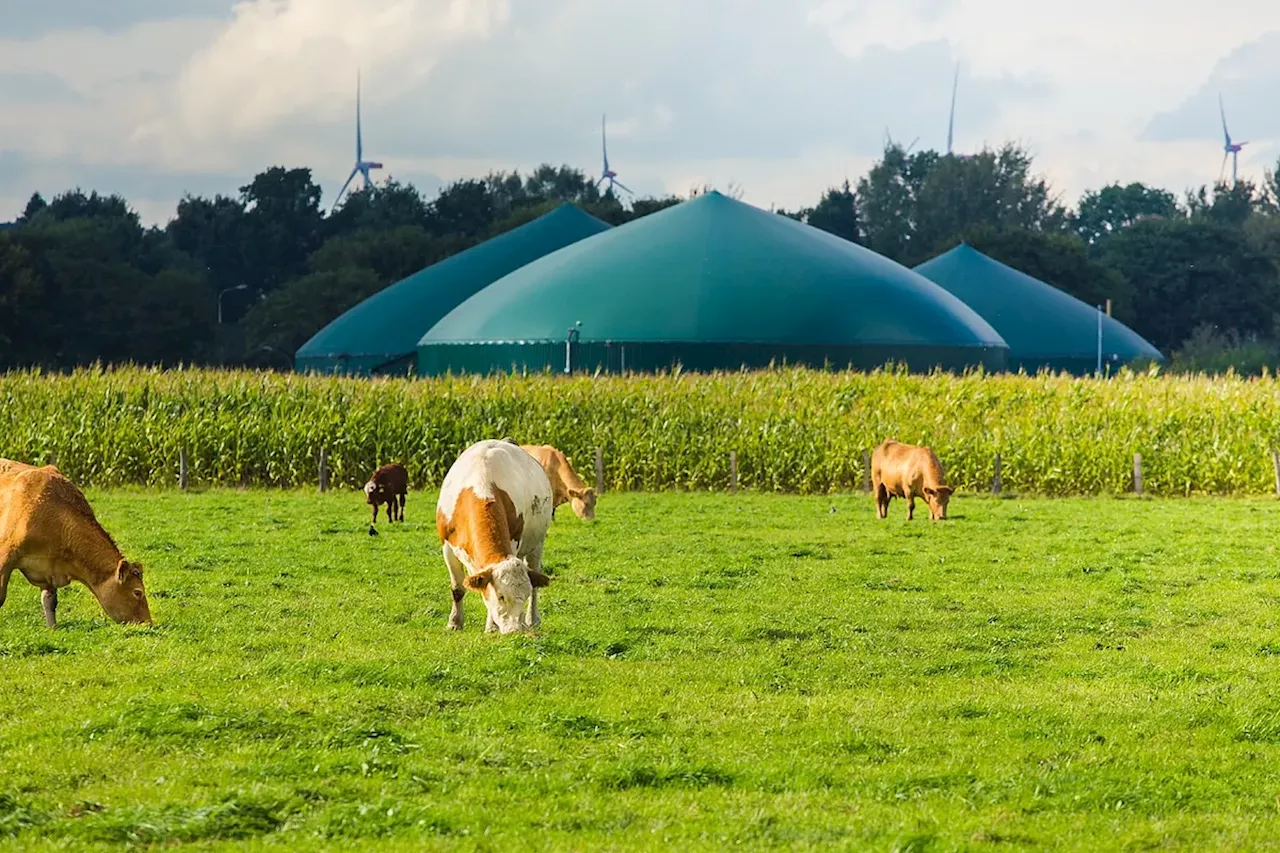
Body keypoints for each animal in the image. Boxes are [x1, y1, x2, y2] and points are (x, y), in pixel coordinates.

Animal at [437, 438, 552, 630]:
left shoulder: (514, 543)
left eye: (524, 597)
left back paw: (532, 619)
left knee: (536, 581)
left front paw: (491, 627)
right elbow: (457, 588)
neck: (481, 488)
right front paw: (454, 622)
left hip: (537, 544)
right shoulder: (447, 547)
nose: (515, 630)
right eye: (501, 596)